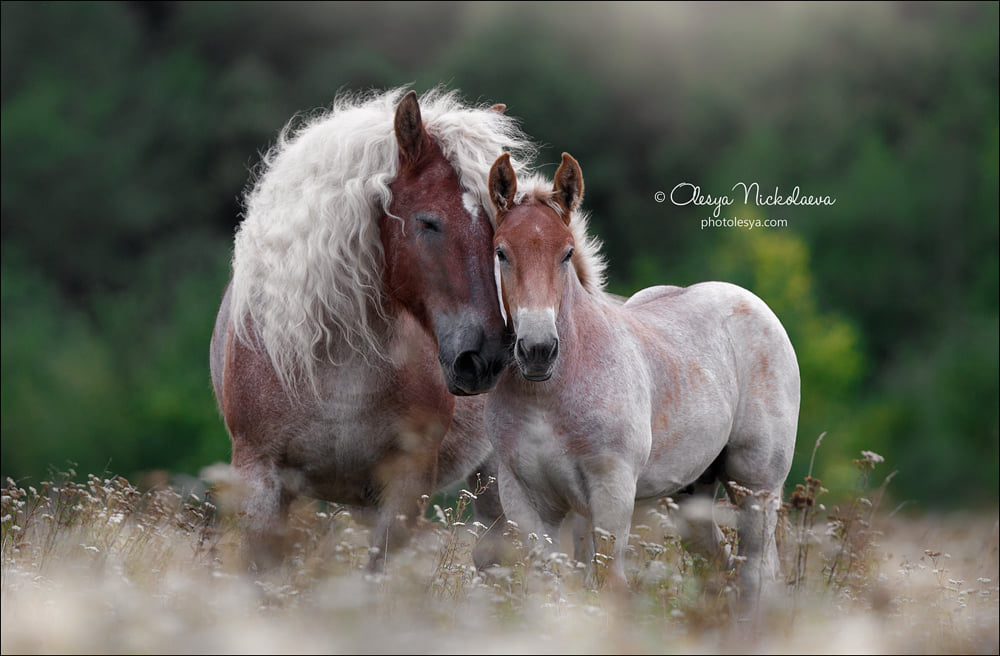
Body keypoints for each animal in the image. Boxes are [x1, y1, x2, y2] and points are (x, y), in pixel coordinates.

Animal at [208, 88, 536, 576]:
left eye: (498, 230)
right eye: (427, 221)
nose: (485, 358)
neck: (337, 368)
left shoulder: (406, 483)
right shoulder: (260, 476)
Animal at [484, 151, 796, 604]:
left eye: (566, 253)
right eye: (501, 252)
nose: (538, 350)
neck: (546, 398)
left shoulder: (612, 492)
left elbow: (609, 585)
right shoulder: (525, 500)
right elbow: (547, 588)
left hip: (756, 486)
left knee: (756, 572)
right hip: (693, 493)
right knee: (719, 564)